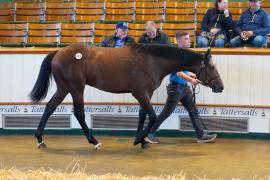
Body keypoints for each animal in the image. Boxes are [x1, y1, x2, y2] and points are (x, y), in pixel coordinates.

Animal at [29, 43, 224, 150]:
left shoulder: (146, 93)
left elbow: (143, 115)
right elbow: (153, 115)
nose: (220, 87)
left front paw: (143, 141)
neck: (152, 61)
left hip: (64, 88)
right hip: (76, 88)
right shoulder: (139, 92)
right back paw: (94, 142)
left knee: (49, 107)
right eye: (212, 67)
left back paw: (40, 139)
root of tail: (58, 52)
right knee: (79, 113)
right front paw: (139, 140)